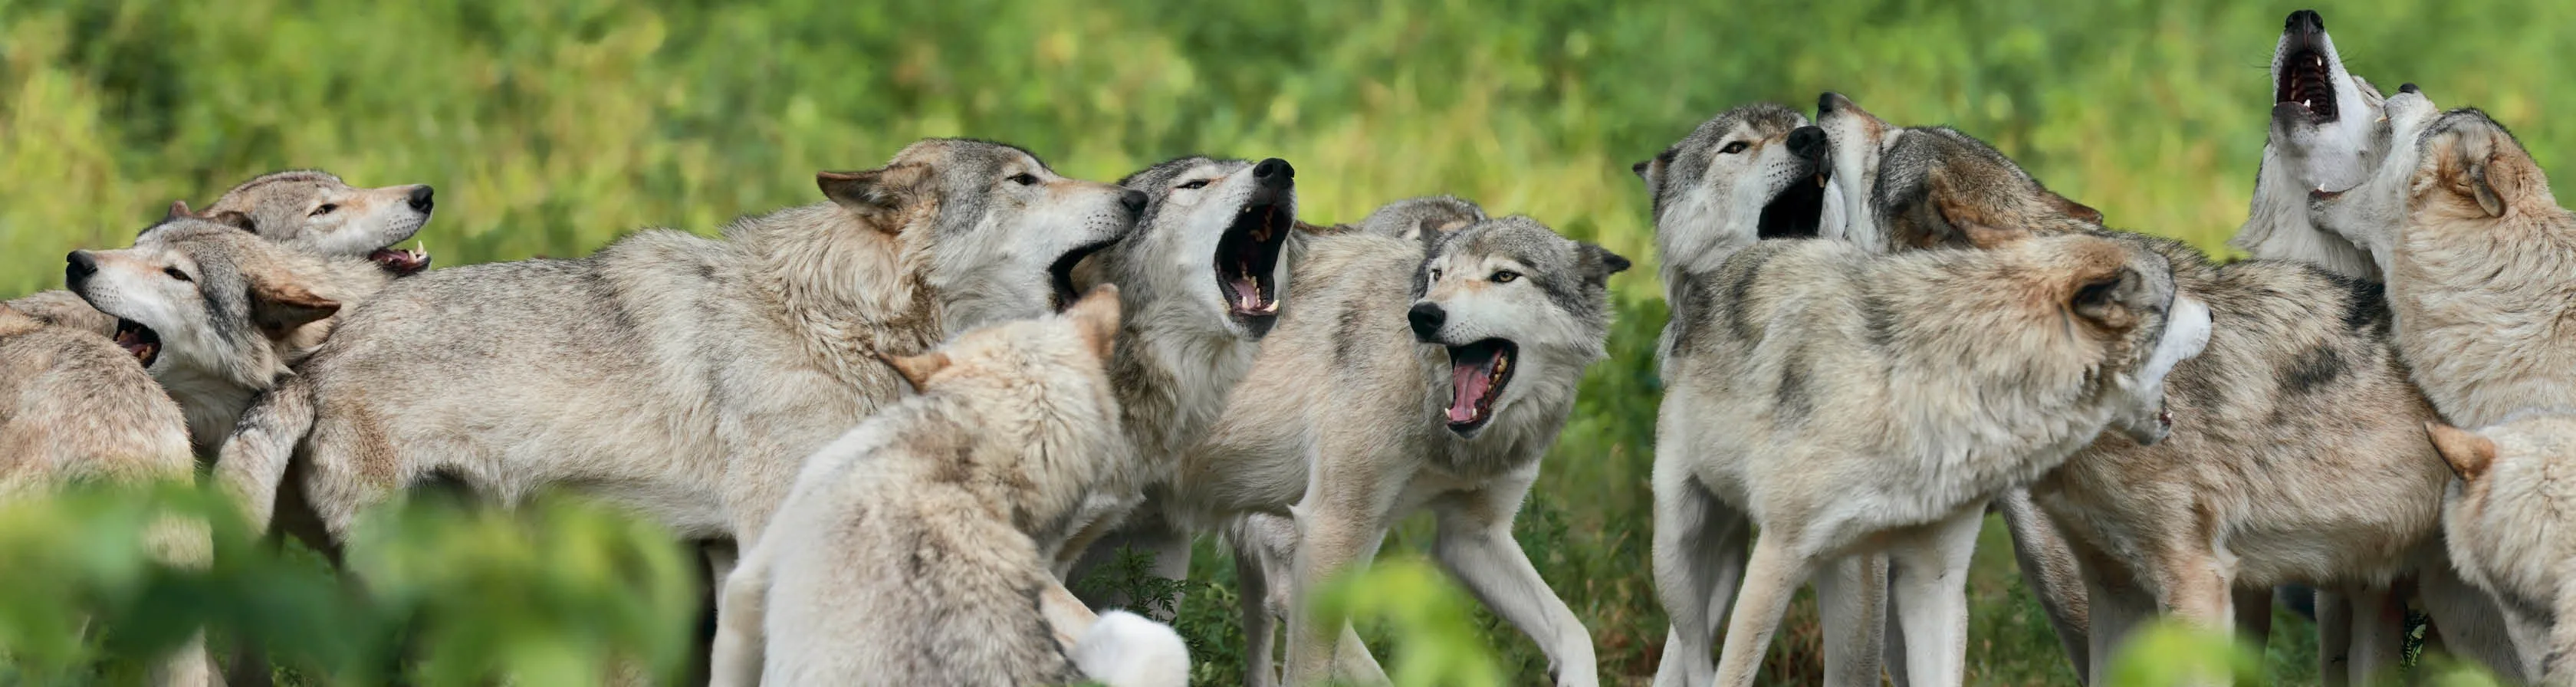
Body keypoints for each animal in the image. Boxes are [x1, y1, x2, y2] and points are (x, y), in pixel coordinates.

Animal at [1173, 212, 1627, 686]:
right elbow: (1321, 667)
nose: (1423, 314)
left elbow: (1574, 633)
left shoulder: (1471, 537)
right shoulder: (1327, 530)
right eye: (1437, 275)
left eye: (1504, 276)